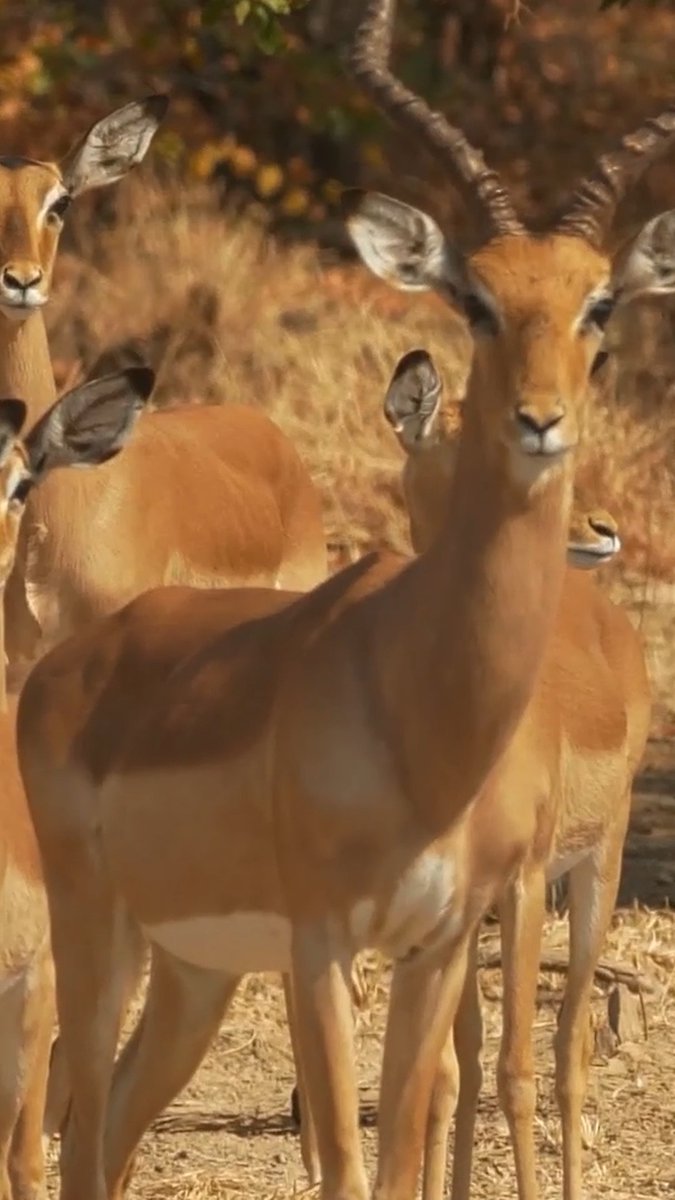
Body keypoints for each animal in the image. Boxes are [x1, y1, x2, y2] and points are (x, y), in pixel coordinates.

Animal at [382, 350, 649, 1200]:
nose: (599, 527)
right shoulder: (455, 894)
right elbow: (447, 1069)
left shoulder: (527, 881)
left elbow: (516, 1070)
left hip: (597, 869)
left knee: (567, 1051)